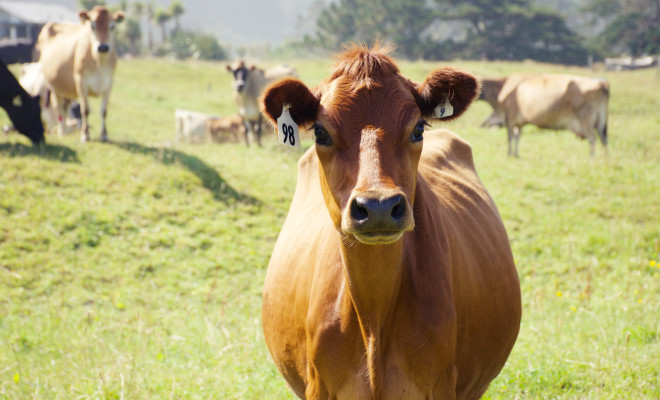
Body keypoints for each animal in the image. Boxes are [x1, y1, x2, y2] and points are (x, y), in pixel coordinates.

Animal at [35, 6, 124, 142]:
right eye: (92, 25)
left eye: (112, 26)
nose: (103, 47)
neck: (99, 62)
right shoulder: (81, 82)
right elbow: (85, 110)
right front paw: (85, 134)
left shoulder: (109, 83)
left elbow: (104, 110)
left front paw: (104, 135)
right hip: (54, 87)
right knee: (58, 108)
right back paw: (62, 131)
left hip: (66, 88)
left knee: (65, 106)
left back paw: (67, 129)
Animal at [260, 44, 521, 399]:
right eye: (320, 132)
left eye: (418, 129)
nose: (379, 205)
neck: (373, 318)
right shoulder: (317, 387)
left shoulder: (442, 385)